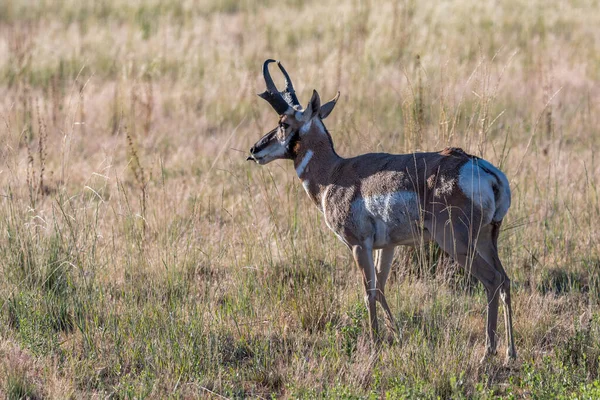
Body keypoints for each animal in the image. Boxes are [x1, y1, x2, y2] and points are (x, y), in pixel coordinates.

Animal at [247, 60, 516, 362]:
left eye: (283, 123)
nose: (254, 149)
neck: (335, 173)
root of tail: (482, 168)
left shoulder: (358, 245)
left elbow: (369, 292)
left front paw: (375, 343)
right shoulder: (387, 247)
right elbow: (382, 287)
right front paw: (396, 335)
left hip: (455, 243)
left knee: (492, 280)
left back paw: (488, 352)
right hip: (486, 238)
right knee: (505, 280)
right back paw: (510, 353)